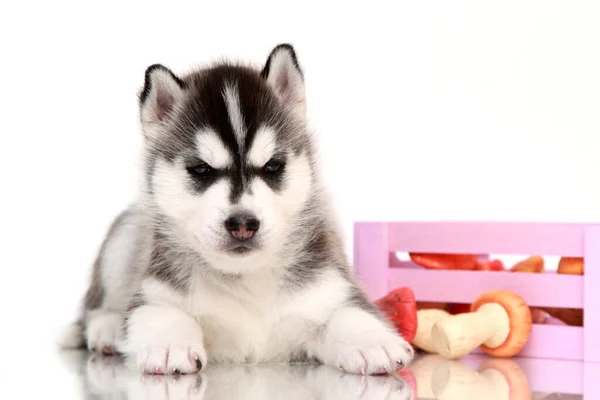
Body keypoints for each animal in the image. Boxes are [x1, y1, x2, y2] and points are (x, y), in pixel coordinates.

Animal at [61, 45, 414, 376]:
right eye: (201, 170)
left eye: (272, 166)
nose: (243, 223)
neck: (244, 279)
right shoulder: (154, 290)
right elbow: (160, 311)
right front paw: (169, 343)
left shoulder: (329, 287)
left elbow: (347, 312)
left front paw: (371, 341)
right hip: (124, 238)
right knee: (96, 307)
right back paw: (106, 327)